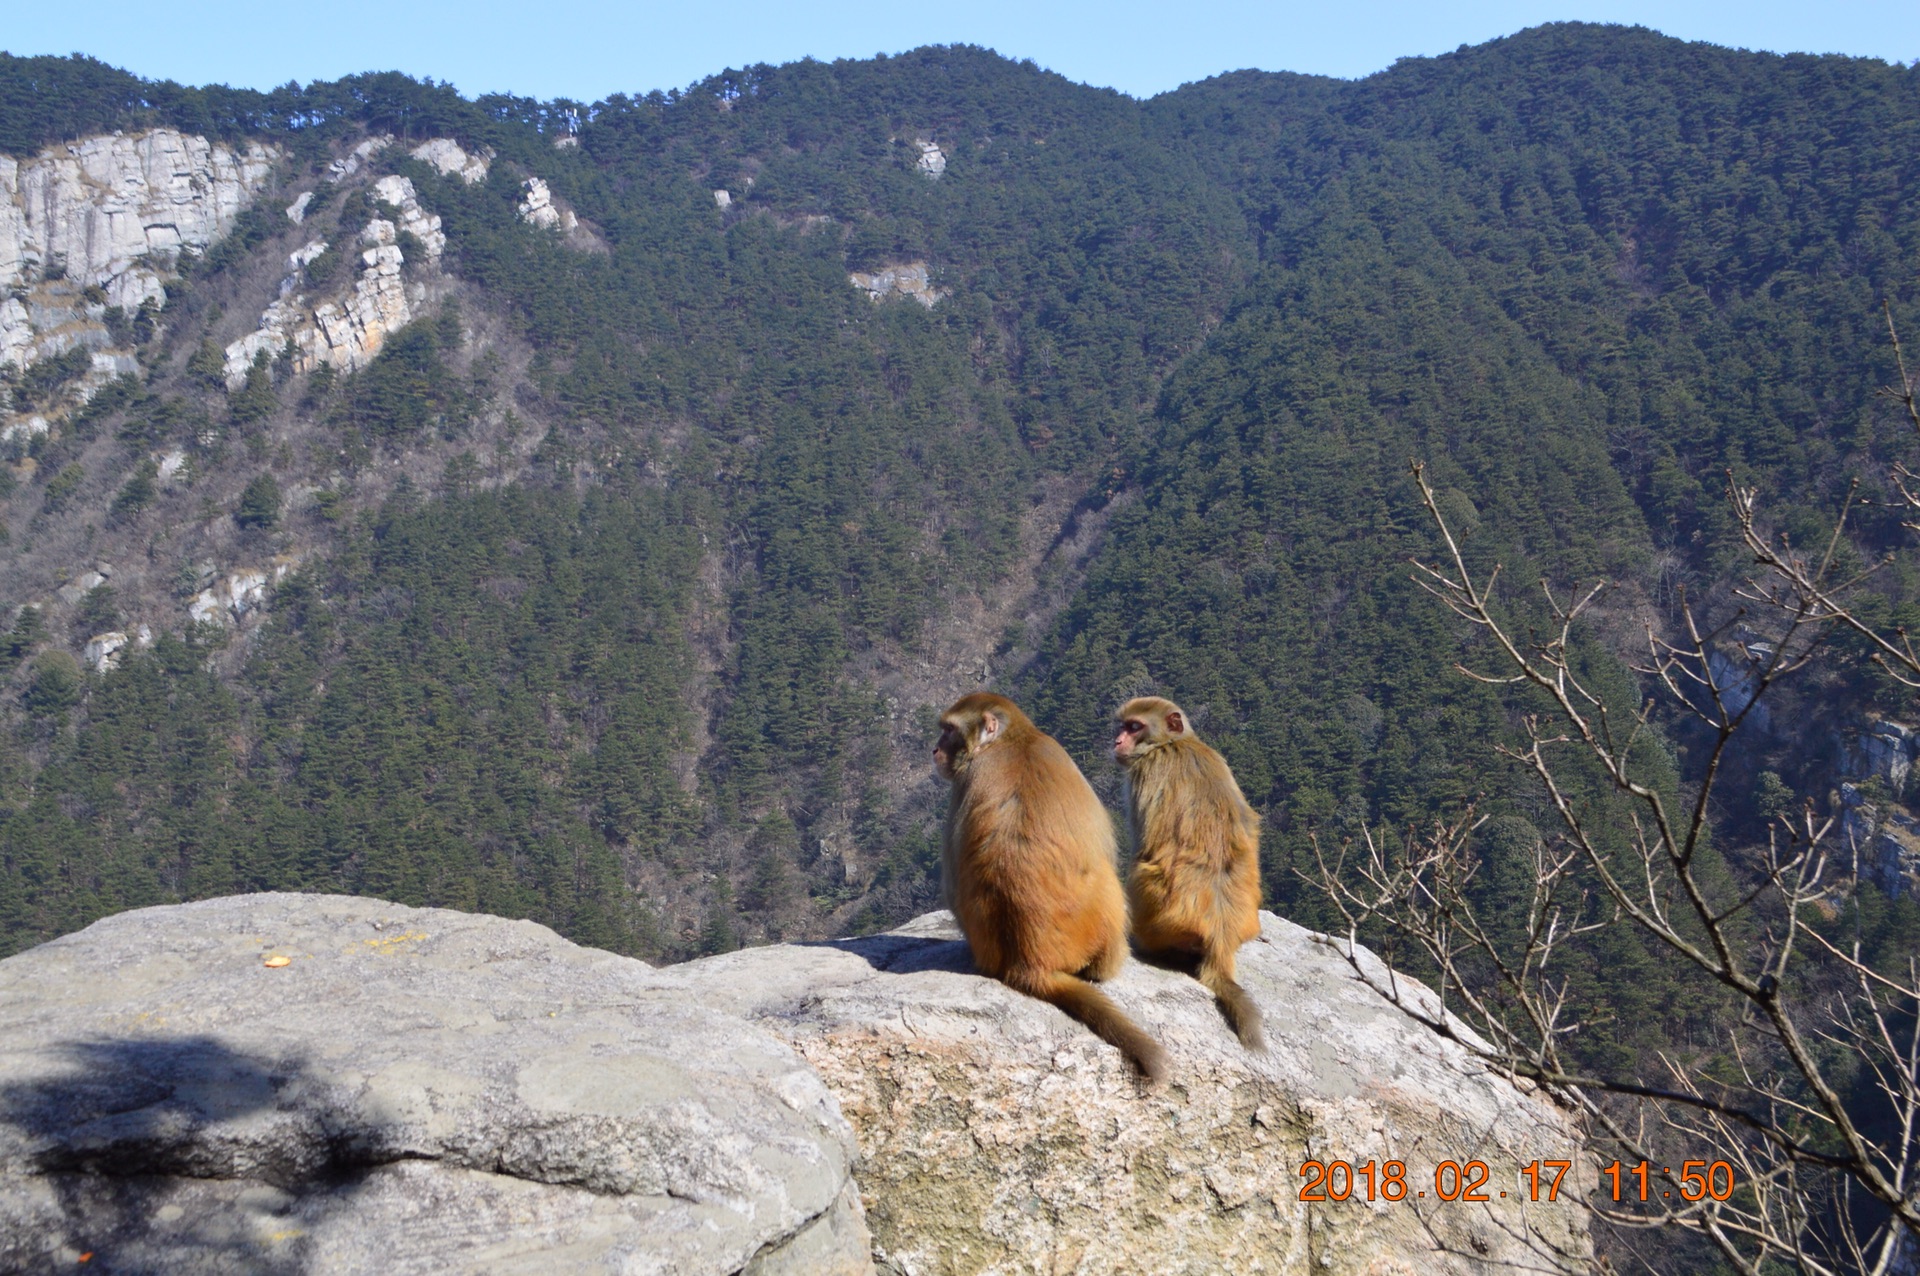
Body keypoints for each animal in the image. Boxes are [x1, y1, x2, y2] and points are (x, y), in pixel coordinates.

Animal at [933, 690, 1167, 1082]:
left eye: (948, 730)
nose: (935, 750)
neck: (1013, 740)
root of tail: (1030, 964)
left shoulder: (963, 783)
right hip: (1097, 926)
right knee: (1107, 881)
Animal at [1121, 698, 1267, 1043]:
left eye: (1134, 727)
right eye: (1122, 726)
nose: (1117, 741)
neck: (1173, 743)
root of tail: (1220, 938)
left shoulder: (1147, 770)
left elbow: (1145, 844)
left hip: (1158, 919)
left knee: (1140, 870)